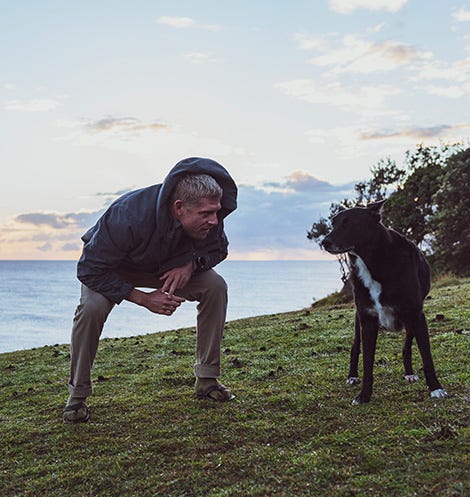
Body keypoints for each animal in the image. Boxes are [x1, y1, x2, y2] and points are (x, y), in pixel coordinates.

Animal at [320, 200, 448, 404]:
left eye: (349, 223)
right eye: (333, 223)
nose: (324, 242)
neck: (372, 262)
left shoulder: (416, 316)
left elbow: (426, 357)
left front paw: (436, 388)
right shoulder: (367, 321)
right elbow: (367, 363)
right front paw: (364, 396)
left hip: (410, 322)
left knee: (406, 347)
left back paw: (409, 372)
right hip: (358, 321)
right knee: (355, 348)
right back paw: (352, 376)